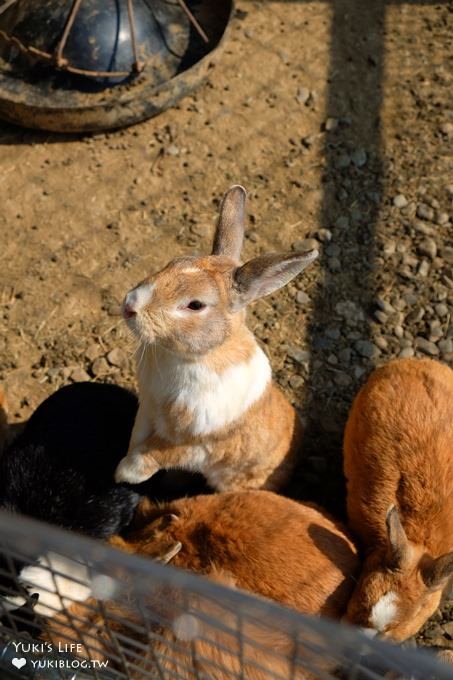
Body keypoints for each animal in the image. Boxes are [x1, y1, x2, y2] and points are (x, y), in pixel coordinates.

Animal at [115, 186, 316, 494]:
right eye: (173, 262)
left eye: (195, 305)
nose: (130, 306)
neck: (191, 357)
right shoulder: (148, 409)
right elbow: (137, 438)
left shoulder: (194, 445)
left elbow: (150, 455)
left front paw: (122, 475)